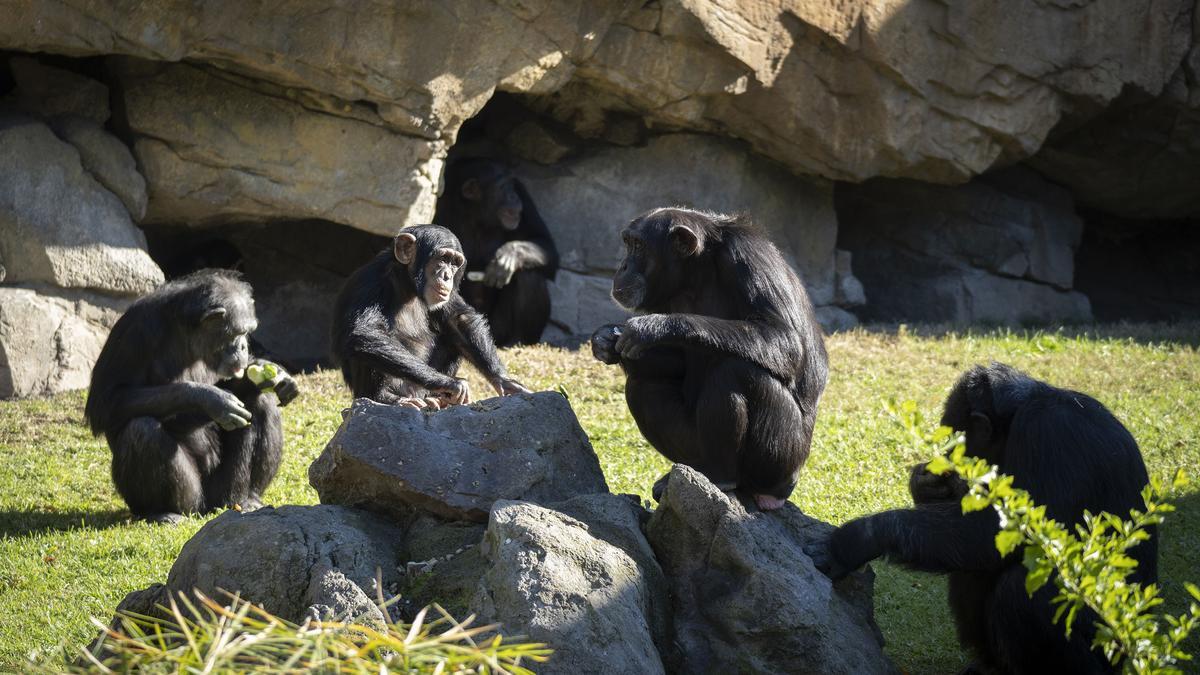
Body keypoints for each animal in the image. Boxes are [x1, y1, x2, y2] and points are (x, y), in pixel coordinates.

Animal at [85, 267, 300, 521]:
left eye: (247, 333)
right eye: (236, 332)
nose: (243, 346)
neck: (187, 333)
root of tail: (205, 509)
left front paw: (267, 374)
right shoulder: (135, 330)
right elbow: (107, 400)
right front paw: (211, 399)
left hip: (223, 492)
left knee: (262, 403)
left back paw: (249, 498)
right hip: (191, 498)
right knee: (141, 430)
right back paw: (161, 512)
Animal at [331, 223, 532, 408]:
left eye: (455, 263)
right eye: (442, 259)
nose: (447, 276)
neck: (407, 283)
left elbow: (459, 320)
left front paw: (504, 381)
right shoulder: (370, 283)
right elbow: (365, 331)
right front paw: (452, 384)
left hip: (420, 389)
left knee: (452, 340)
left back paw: (438, 398)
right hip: (383, 390)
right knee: (369, 344)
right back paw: (388, 398)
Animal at [436, 158, 556, 345]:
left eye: (512, 185)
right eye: (503, 187)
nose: (513, 196)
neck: (476, 213)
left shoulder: (524, 195)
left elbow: (545, 244)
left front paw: (509, 255)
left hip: (497, 331)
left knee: (529, 275)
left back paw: (517, 341)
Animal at [588, 207, 825, 506]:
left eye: (638, 246)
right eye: (628, 243)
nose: (622, 267)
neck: (696, 273)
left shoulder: (748, 256)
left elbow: (785, 338)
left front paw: (652, 327)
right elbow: (677, 361)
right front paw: (606, 339)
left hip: (780, 459)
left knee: (734, 370)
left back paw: (720, 476)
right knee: (643, 385)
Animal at [811, 362, 1156, 672]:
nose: (947, 457)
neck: (1020, 414)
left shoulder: (1051, 437)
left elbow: (999, 534)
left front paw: (854, 539)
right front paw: (927, 484)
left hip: (1108, 644)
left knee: (1022, 594)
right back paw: (988, 666)